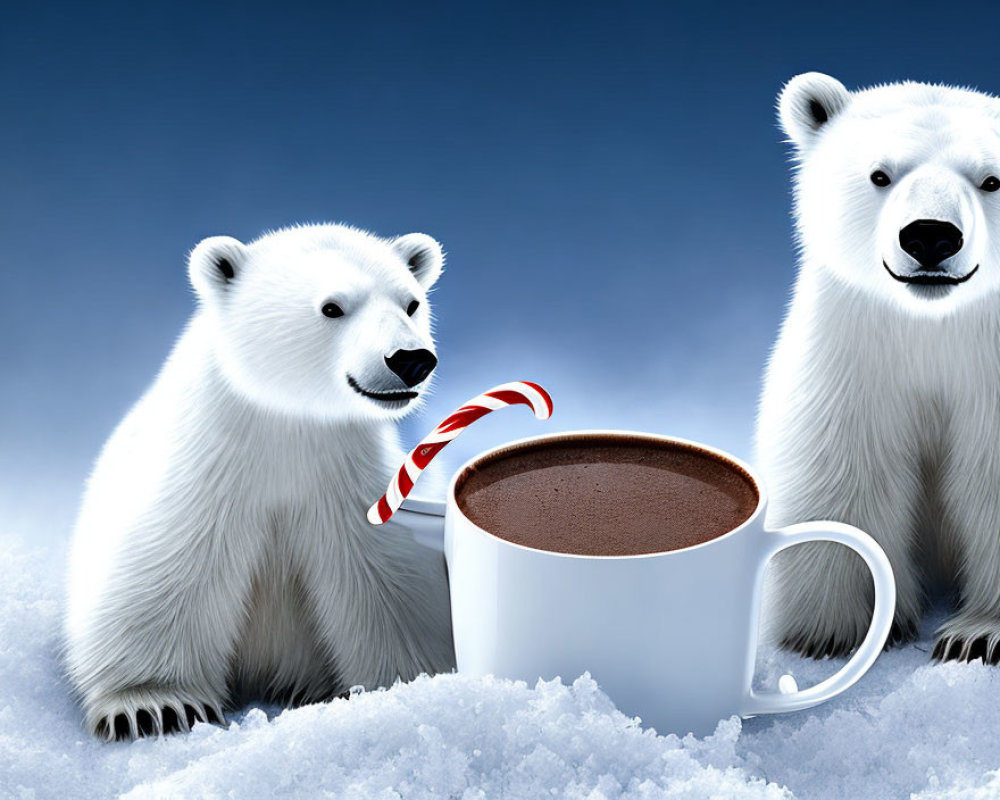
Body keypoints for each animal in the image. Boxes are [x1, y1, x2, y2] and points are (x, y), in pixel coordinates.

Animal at [69, 222, 458, 740]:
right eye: (332, 307)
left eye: (411, 302)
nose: (411, 359)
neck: (288, 423)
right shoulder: (207, 473)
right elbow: (164, 568)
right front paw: (154, 705)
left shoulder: (349, 481)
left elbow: (387, 584)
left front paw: (409, 688)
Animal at [760, 73, 1000, 664]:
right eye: (880, 174)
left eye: (991, 180)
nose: (931, 236)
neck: (932, 323)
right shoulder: (853, 349)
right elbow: (844, 464)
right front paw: (843, 629)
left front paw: (975, 634)